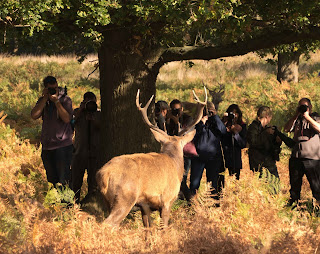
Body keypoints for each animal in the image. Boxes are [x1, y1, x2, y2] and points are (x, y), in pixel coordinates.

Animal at [96, 88, 206, 227]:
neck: (175, 165)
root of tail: (104, 174)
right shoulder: (167, 199)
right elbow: (164, 227)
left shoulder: (145, 206)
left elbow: (147, 228)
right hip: (125, 197)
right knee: (108, 224)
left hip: (107, 200)